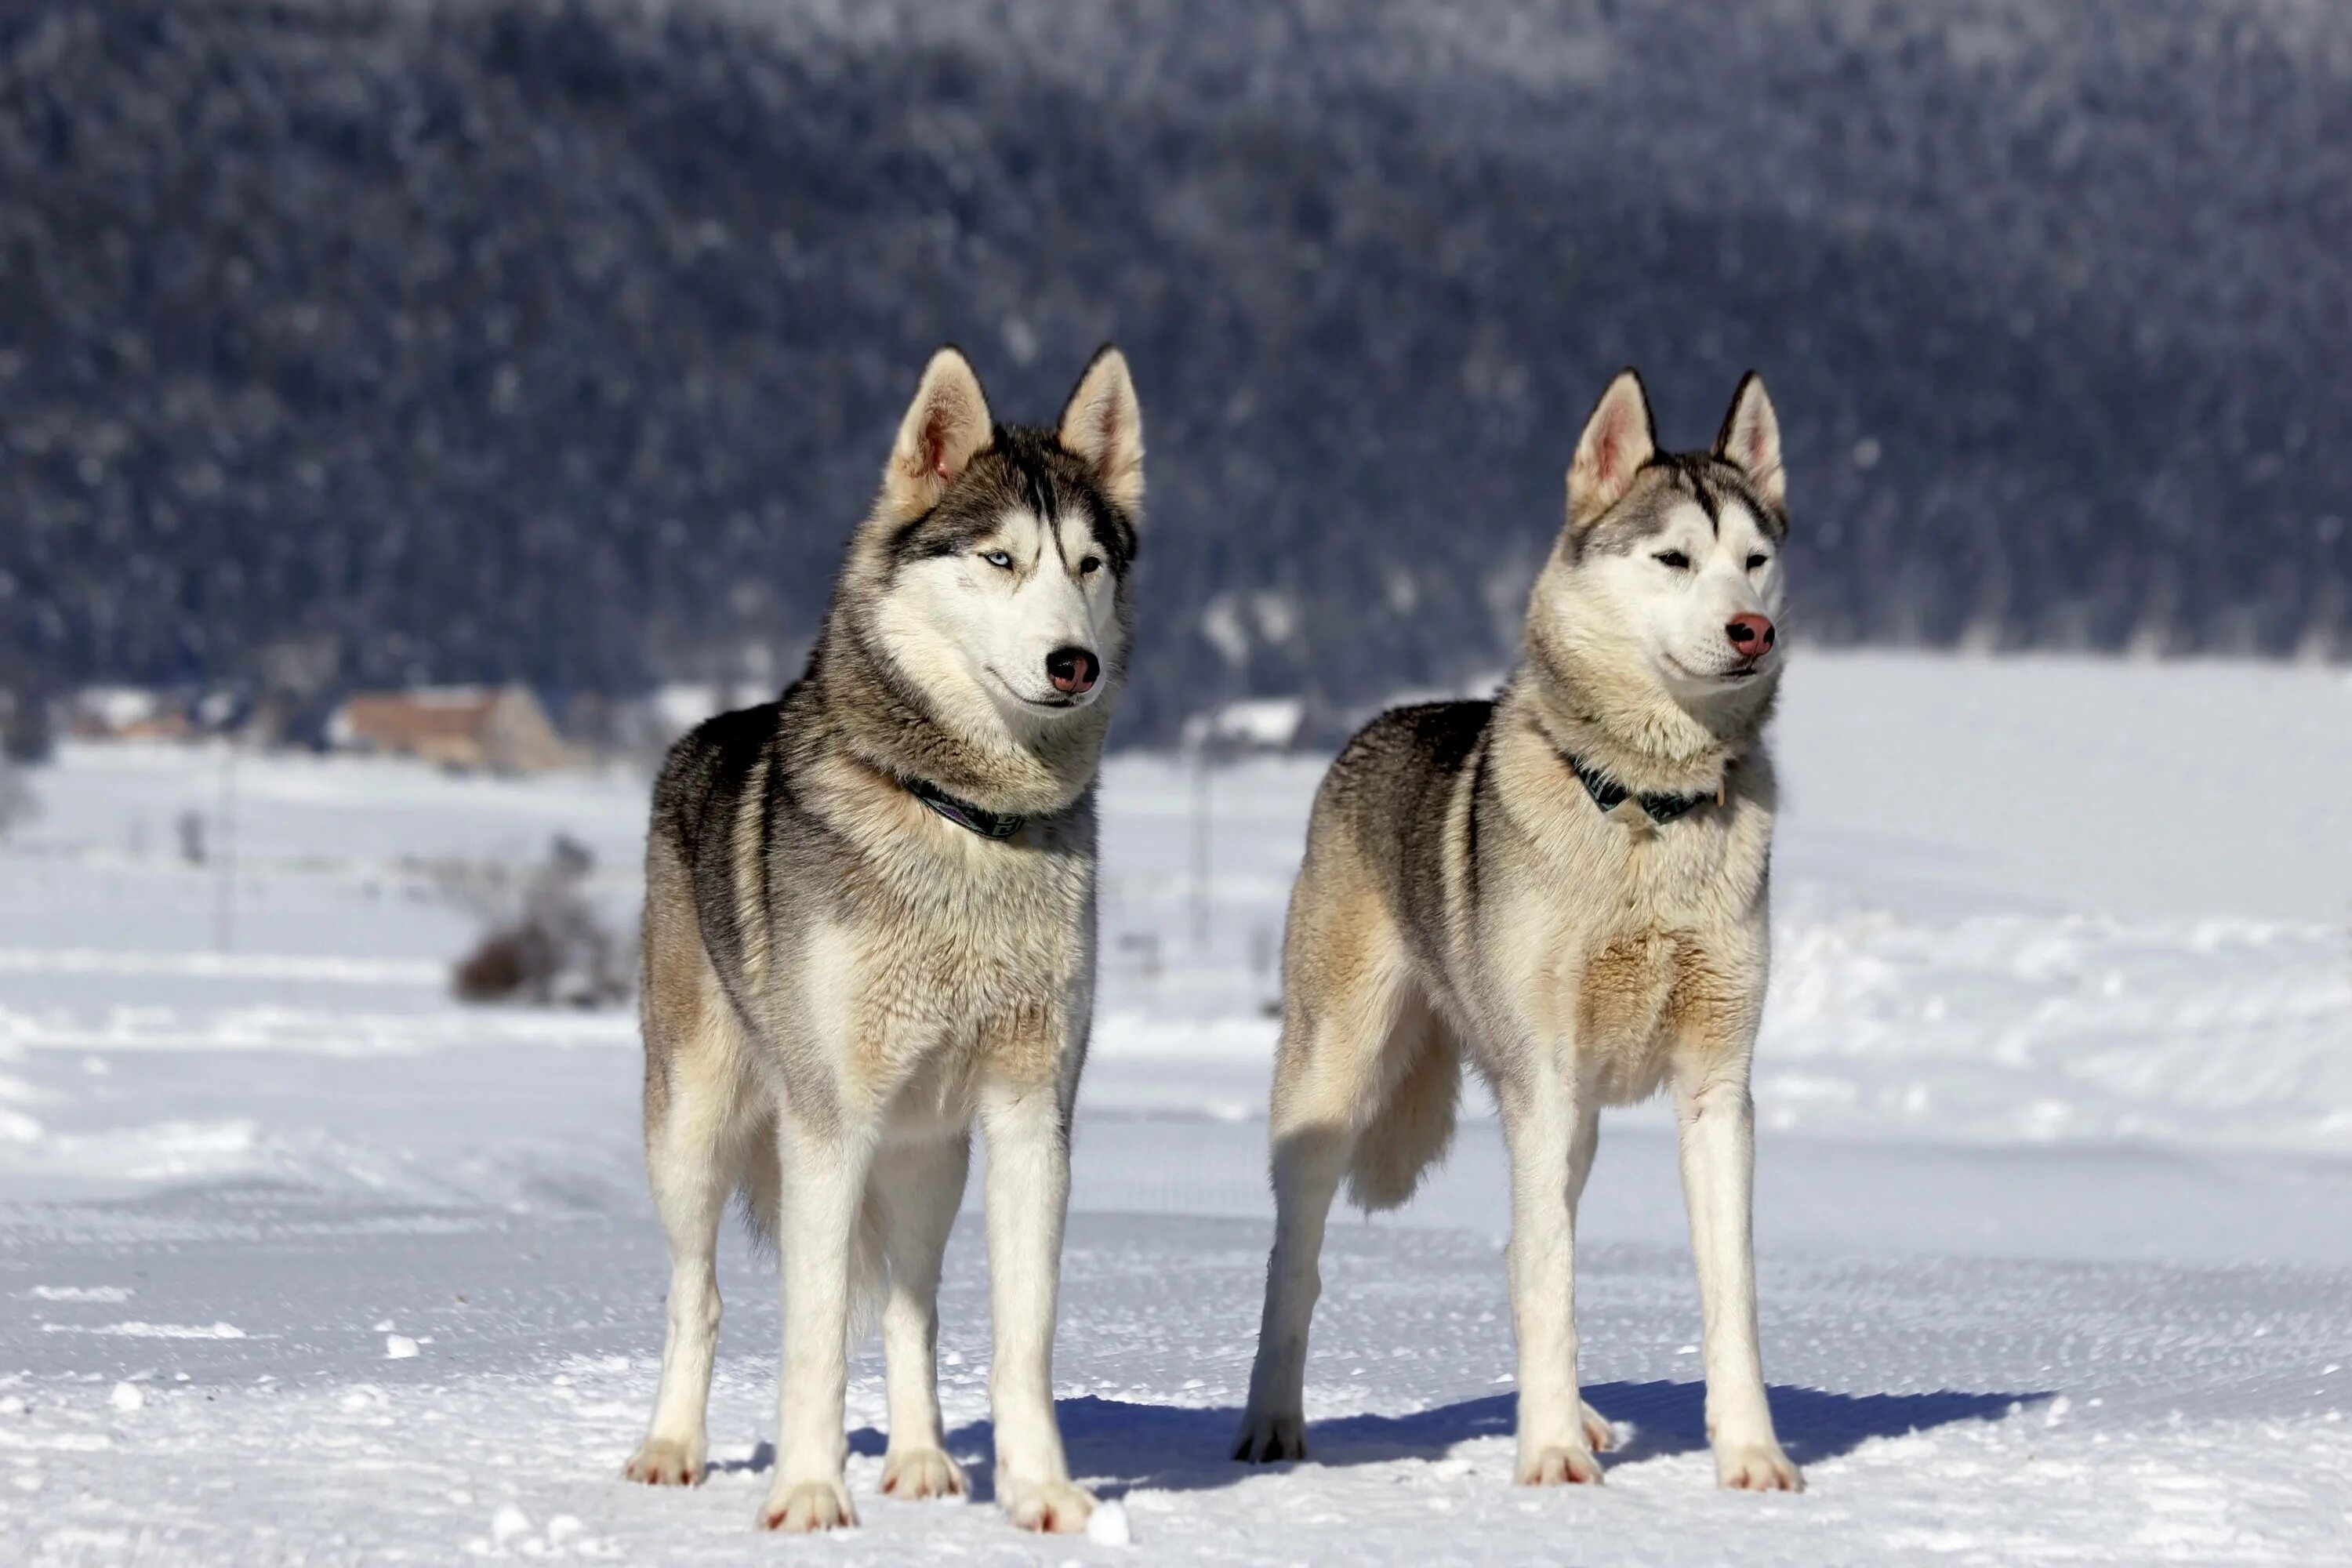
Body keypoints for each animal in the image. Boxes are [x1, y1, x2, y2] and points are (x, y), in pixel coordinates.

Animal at [621, 343, 1143, 1533]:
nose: (1073, 663)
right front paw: (810, 1495)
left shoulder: (1031, 1114)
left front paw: (1043, 1494)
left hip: (927, 1158)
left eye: (1089, 564)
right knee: (696, 1296)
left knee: (912, 1305)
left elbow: (1022, 1333)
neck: (965, 820)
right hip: (695, 1130)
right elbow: (812, 1336)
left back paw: (921, 1463)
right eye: (1000, 559)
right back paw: (672, 1448)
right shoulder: (830, 1126)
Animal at [1232, 368, 1797, 1495]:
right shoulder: (1544, 1075)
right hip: (1337, 1080)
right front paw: (1547, 1458)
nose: (1750, 630)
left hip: (1569, 1123)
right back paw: (1274, 1426)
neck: (1646, 813)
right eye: (1675, 559)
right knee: (1297, 1264)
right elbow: (1552, 1280)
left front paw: (1751, 1458)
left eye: (1754, 562)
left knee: (1516, 1245)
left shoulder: (1717, 1086)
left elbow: (1731, 1291)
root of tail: (1374, 726)